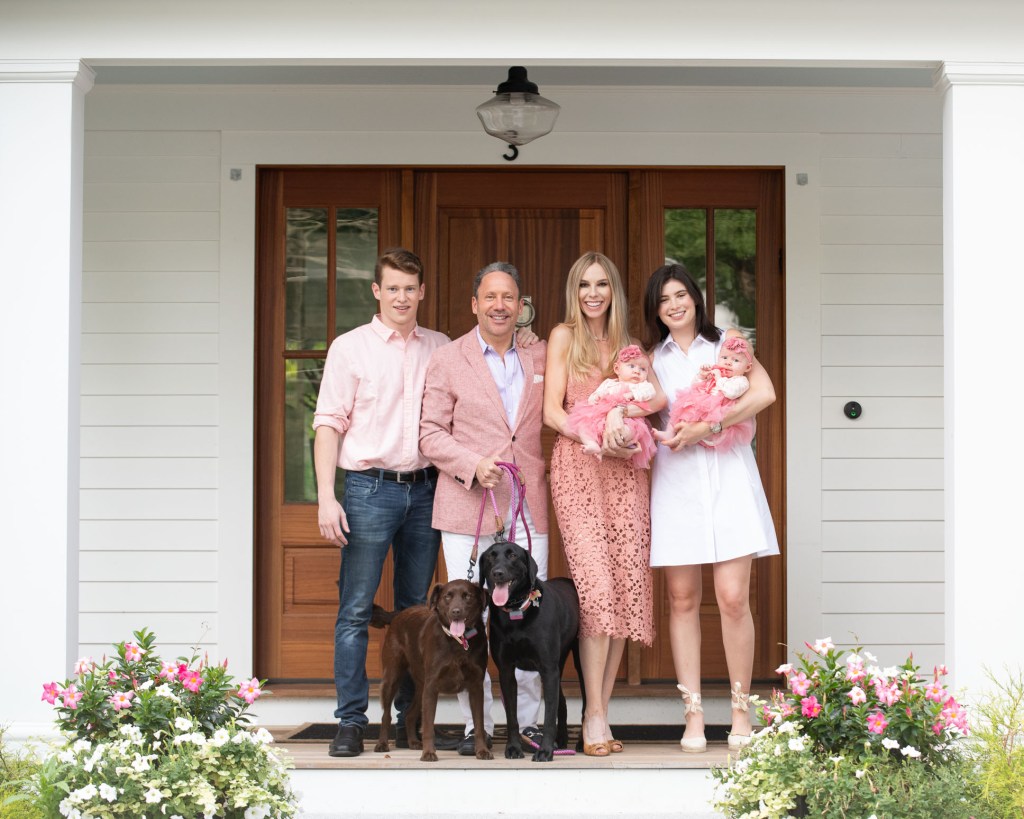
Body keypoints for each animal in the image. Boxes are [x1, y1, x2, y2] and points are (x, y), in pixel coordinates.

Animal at [373, 579, 492, 762]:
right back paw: (382, 744)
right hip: (392, 676)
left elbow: (479, 724)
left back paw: (414, 742)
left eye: (468, 596)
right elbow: (428, 725)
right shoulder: (432, 686)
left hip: (421, 684)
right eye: (447, 596)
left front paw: (482, 750)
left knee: (409, 714)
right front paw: (429, 753)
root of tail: (398, 614)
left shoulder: (476, 687)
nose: (456, 612)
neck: (457, 641)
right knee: (386, 715)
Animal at [478, 540, 585, 761]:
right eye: (491, 556)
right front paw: (513, 748)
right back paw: (562, 740)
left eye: (513, 555)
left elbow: (548, 715)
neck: (517, 610)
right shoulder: (506, 671)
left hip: (580, 661)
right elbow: (512, 716)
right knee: (562, 702)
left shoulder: (548, 669)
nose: (497, 573)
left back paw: (579, 742)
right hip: (558, 665)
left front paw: (545, 751)